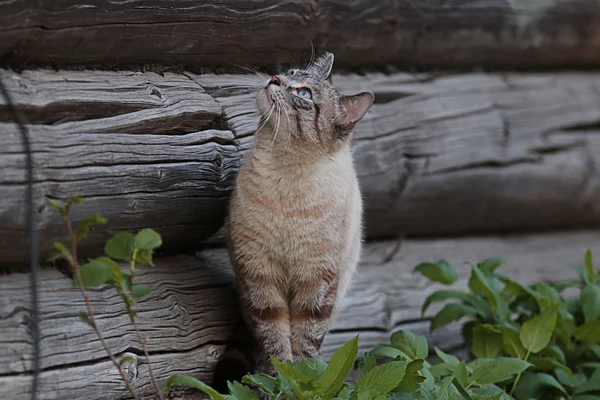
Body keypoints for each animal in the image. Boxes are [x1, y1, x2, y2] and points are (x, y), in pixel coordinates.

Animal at [226, 52, 372, 378]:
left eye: (303, 93)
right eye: (289, 72)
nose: (274, 79)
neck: (285, 171)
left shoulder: (315, 279)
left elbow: (305, 342)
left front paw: (303, 380)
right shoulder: (260, 273)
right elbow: (275, 342)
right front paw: (278, 380)